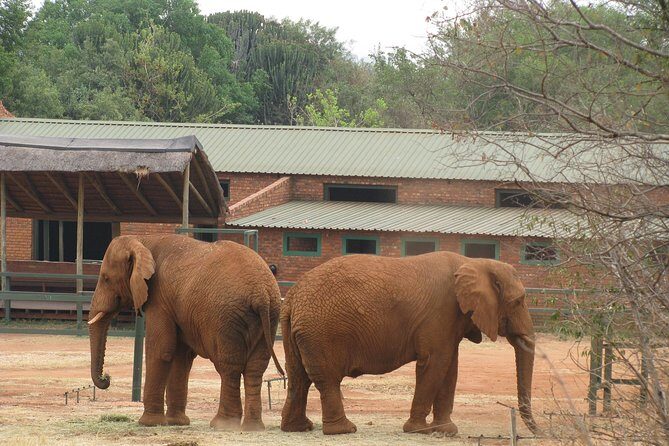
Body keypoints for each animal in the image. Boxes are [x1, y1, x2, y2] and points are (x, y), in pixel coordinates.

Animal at [87, 234, 284, 431]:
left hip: (227, 318)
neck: (142, 241)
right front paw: (176, 422)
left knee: (229, 366)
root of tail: (261, 294)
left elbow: (160, 350)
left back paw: (222, 424)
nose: (106, 377)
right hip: (269, 317)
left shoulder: (159, 299)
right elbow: (181, 356)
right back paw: (252, 427)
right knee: (255, 368)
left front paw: (149, 423)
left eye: (106, 278)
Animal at [280, 251, 540, 436]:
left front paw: (446, 431)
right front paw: (419, 430)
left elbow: (450, 367)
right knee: (327, 379)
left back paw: (299, 428)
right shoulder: (441, 313)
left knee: (298, 378)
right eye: (518, 302)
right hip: (323, 332)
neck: (474, 262)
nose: (539, 433)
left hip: (301, 331)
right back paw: (344, 430)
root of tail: (292, 296)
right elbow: (435, 363)